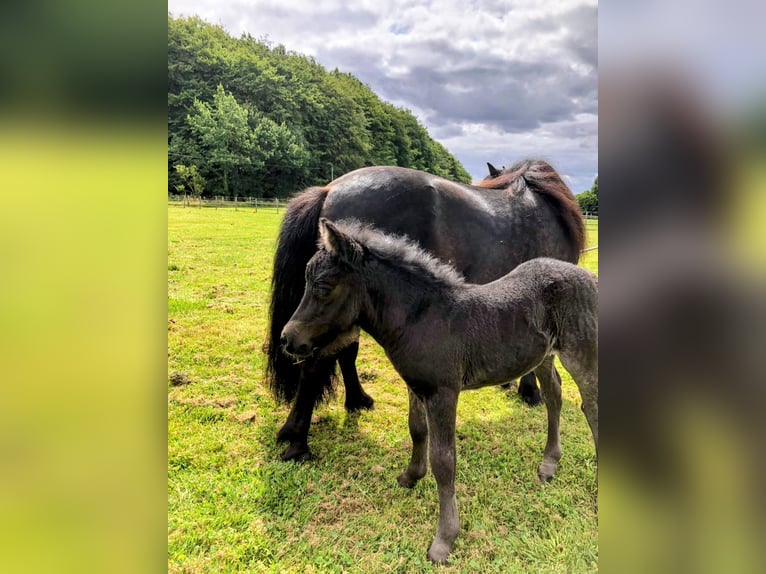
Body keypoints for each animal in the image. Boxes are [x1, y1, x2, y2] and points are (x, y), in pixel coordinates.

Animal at [268, 159, 584, 464]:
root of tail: (330, 189)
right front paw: (530, 393)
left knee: (344, 352)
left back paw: (357, 401)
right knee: (315, 363)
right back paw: (298, 442)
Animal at [282, 220, 600, 568]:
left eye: (324, 287)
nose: (287, 339)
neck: (423, 318)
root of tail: (588, 276)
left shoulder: (444, 393)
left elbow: (444, 460)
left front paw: (444, 539)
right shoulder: (417, 386)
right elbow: (417, 430)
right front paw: (411, 476)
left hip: (581, 351)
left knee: (592, 407)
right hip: (543, 355)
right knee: (554, 396)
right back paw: (548, 464)